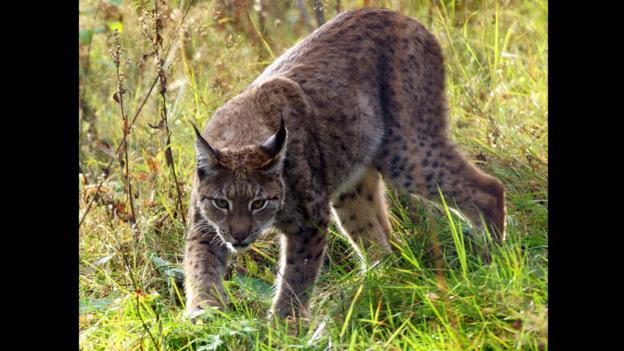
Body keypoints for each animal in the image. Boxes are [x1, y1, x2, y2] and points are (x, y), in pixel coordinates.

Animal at [183, 6, 504, 320]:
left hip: (403, 153)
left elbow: (297, 278)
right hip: (353, 182)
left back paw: (493, 261)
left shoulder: (310, 221)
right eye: (221, 203)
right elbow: (200, 266)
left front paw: (285, 325)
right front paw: (204, 311)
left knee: (489, 188)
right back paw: (375, 287)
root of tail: (405, 18)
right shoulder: (204, 225)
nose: (239, 236)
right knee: (378, 240)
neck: (242, 135)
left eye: (258, 203)